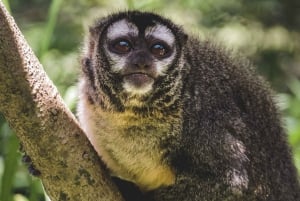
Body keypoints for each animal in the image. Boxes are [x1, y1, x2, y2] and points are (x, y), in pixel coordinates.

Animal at [77, 11, 300, 201]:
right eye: (123, 45)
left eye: (158, 49)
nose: (141, 62)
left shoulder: (206, 117)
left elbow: (231, 184)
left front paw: (132, 193)